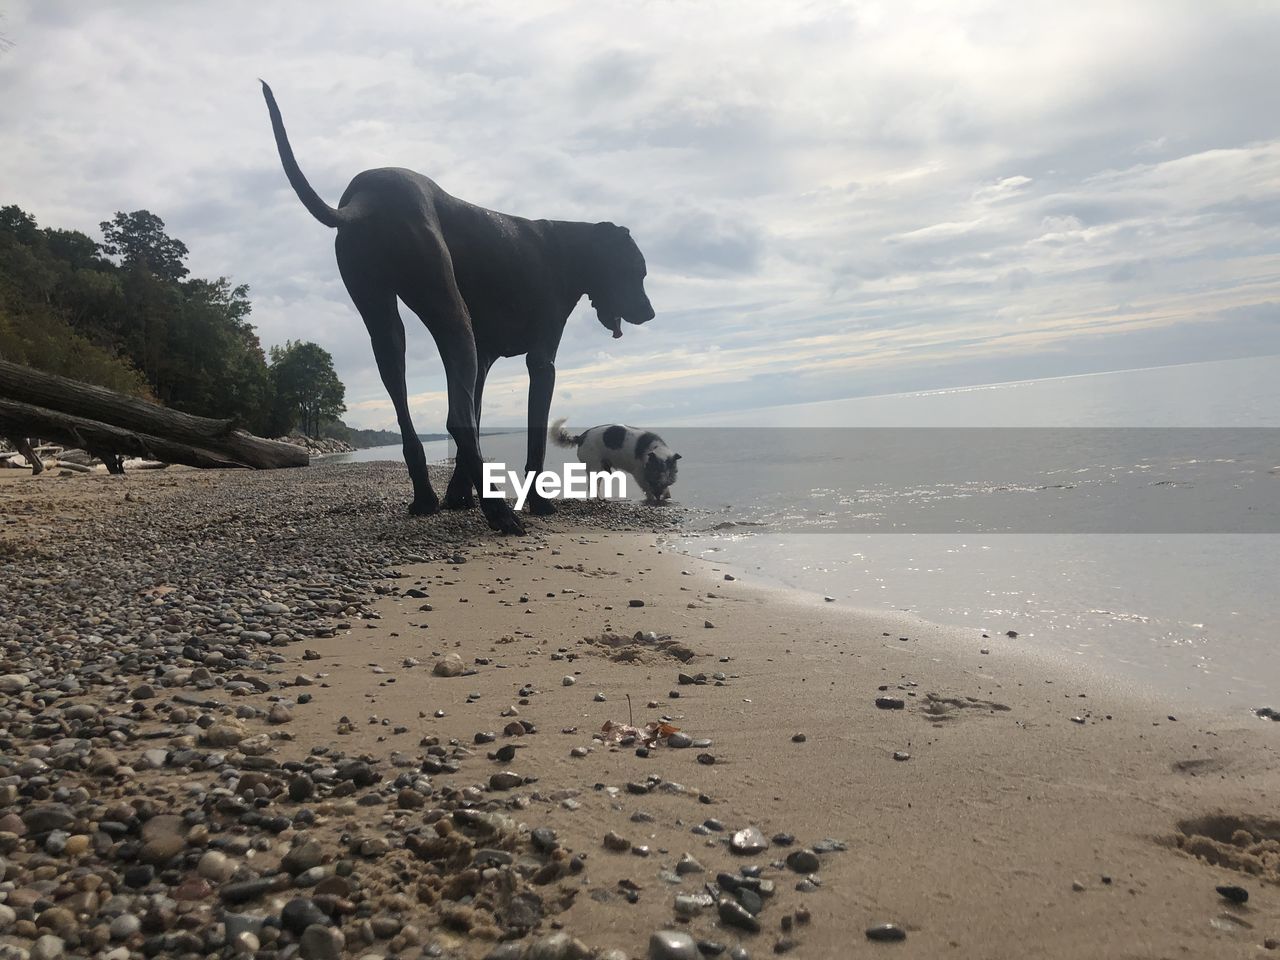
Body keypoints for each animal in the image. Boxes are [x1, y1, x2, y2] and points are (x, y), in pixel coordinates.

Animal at [258, 81, 650, 535]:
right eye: (637, 271)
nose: (650, 313)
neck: (567, 250)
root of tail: (367, 197)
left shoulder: (485, 358)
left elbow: (474, 420)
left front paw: (458, 495)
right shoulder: (541, 360)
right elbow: (528, 438)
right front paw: (535, 502)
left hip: (382, 318)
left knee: (414, 412)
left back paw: (427, 498)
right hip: (449, 311)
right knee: (455, 419)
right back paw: (498, 511)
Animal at [555, 422, 686, 512]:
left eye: (668, 483)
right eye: (654, 480)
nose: (659, 498)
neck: (655, 449)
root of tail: (580, 437)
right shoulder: (639, 474)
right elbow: (646, 489)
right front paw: (652, 499)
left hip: (603, 468)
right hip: (595, 466)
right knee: (592, 485)